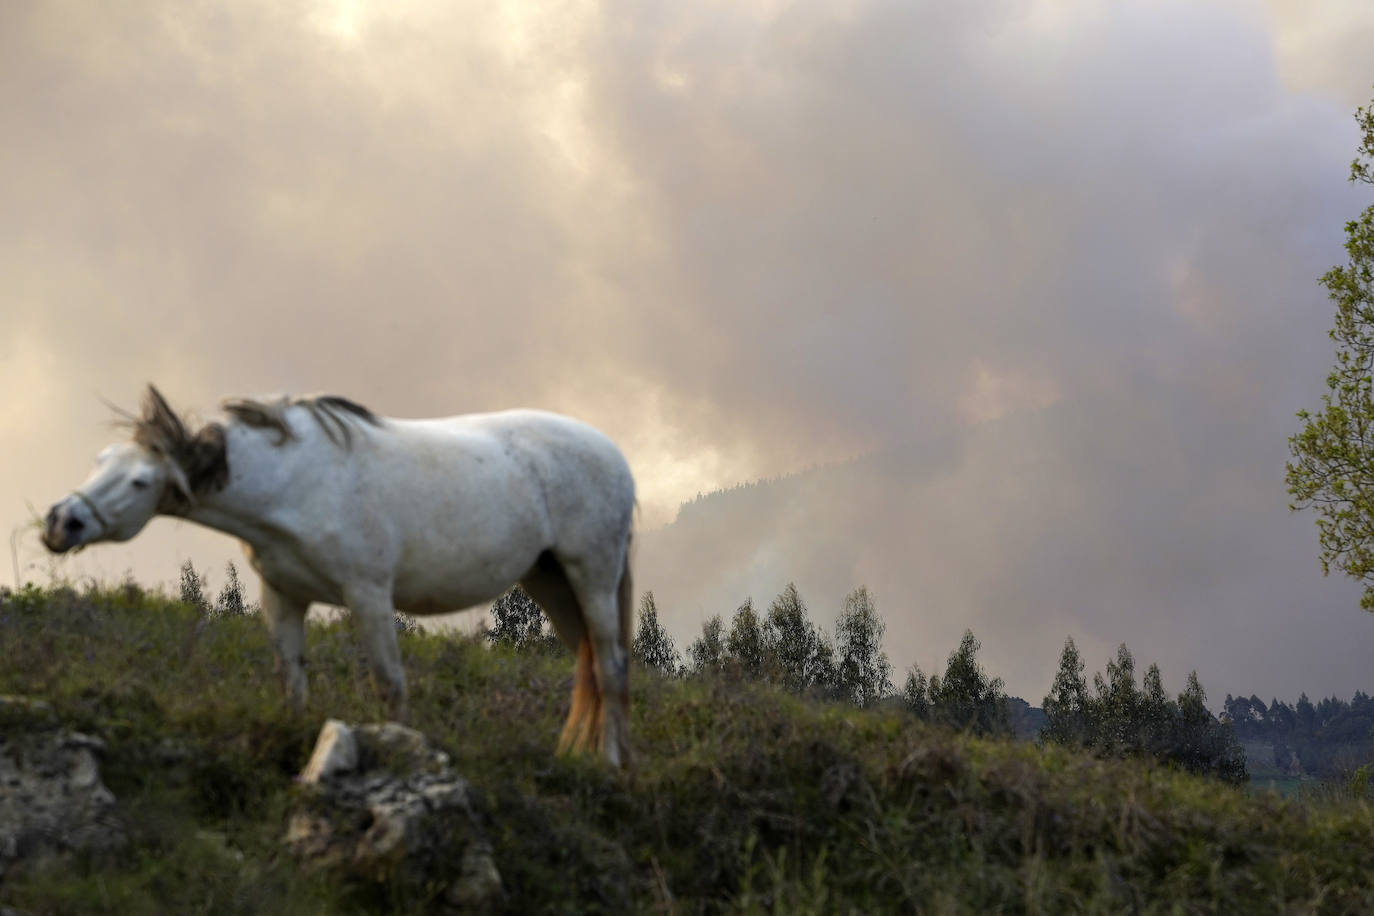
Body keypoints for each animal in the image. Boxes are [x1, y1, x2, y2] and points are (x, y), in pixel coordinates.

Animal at [44, 384, 637, 769]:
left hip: (592, 573)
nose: (60, 522)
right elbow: (291, 676)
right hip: (550, 580)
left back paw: (609, 766)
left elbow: (390, 683)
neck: (295, 481)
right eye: (101, 460)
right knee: (588, 665)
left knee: (609, 667)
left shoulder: (369, 594)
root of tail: (615, 457)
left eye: (141, 482)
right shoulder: (282, 595)